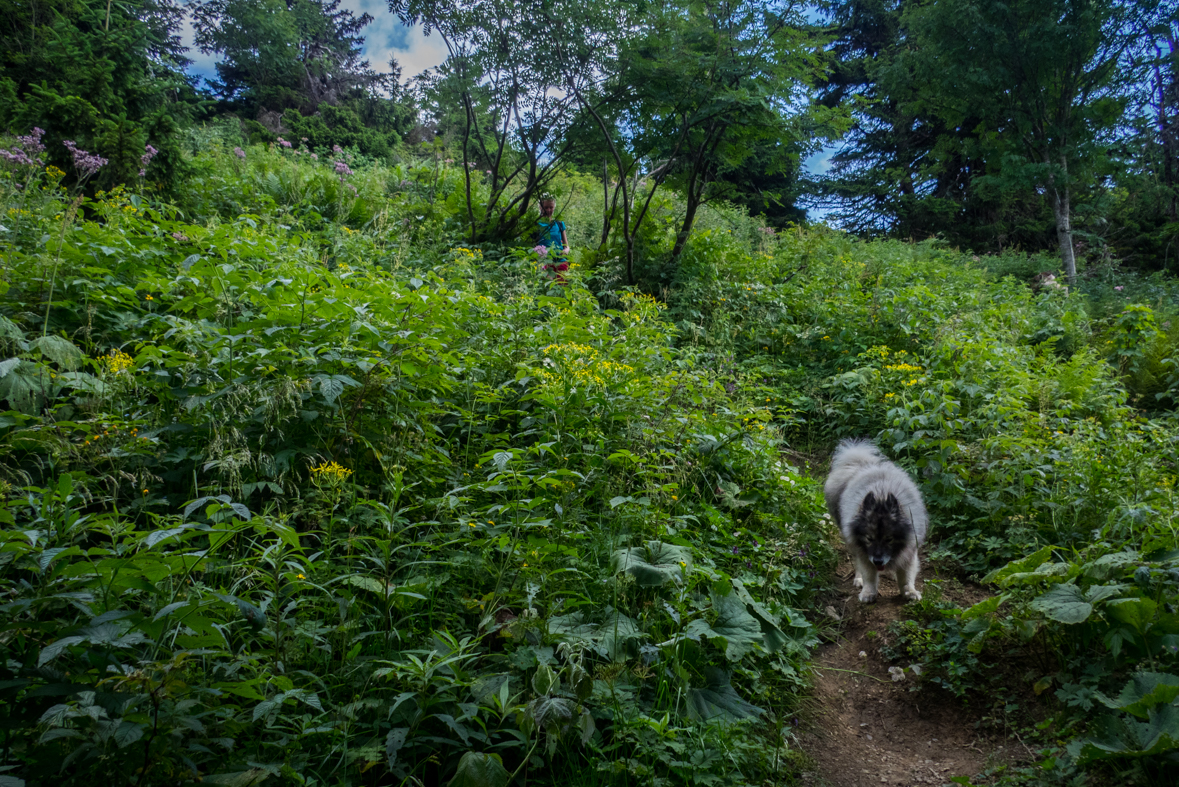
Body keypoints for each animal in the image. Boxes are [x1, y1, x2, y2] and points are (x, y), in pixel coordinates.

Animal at [825, 435, 924, 603]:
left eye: (889, 539)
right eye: (869, 539)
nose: (878, 561)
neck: (881, 495)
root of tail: (859, 464)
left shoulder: (909, 550)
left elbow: (906, 576)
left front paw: (909, 591)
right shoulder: (864, 551)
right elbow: (869, 575)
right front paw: (868, 593)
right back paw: (859, 579)